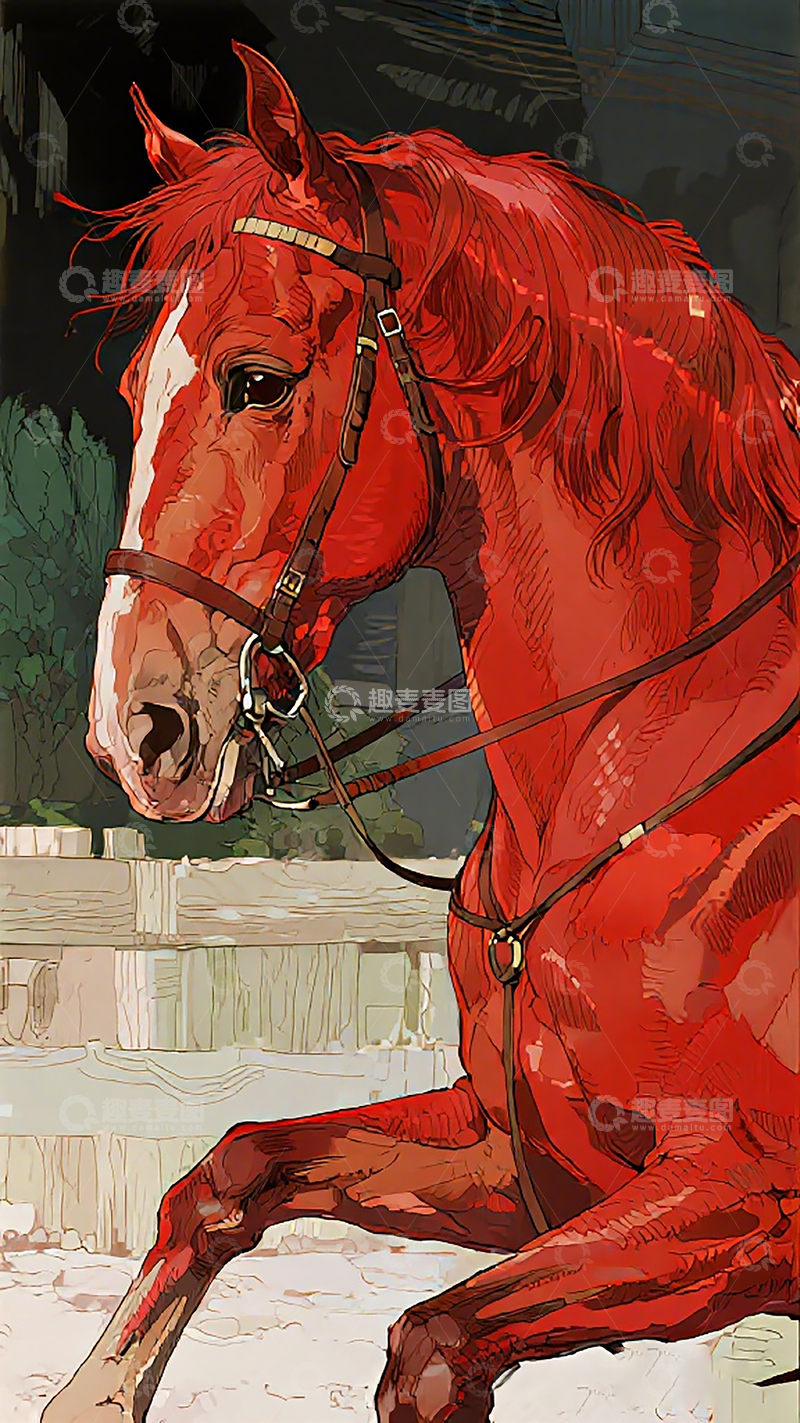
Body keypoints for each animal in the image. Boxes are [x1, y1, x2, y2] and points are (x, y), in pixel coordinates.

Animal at [44, 42, 799, 1423]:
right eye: (133, 386)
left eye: (255, 379)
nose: (137, 731)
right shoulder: (512, 1161)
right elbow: (230, 1169)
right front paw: (93, 1394)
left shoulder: (743, 1202)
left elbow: (433, 1343)